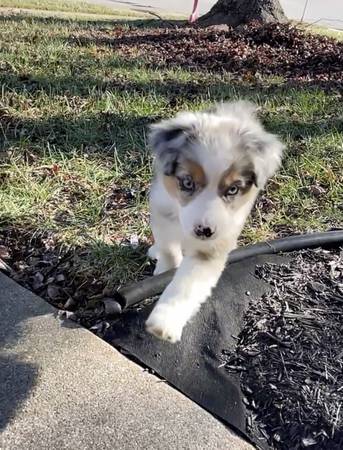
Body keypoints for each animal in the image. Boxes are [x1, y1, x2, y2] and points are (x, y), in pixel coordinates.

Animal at [145, 100, 284, 342]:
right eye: (188, 183)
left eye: (233, 189)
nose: (204, 231)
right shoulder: (162, 208)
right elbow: (168, 248)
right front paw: (164, 270)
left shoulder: (214, 244)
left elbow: (188, 283)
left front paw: (164, 323)